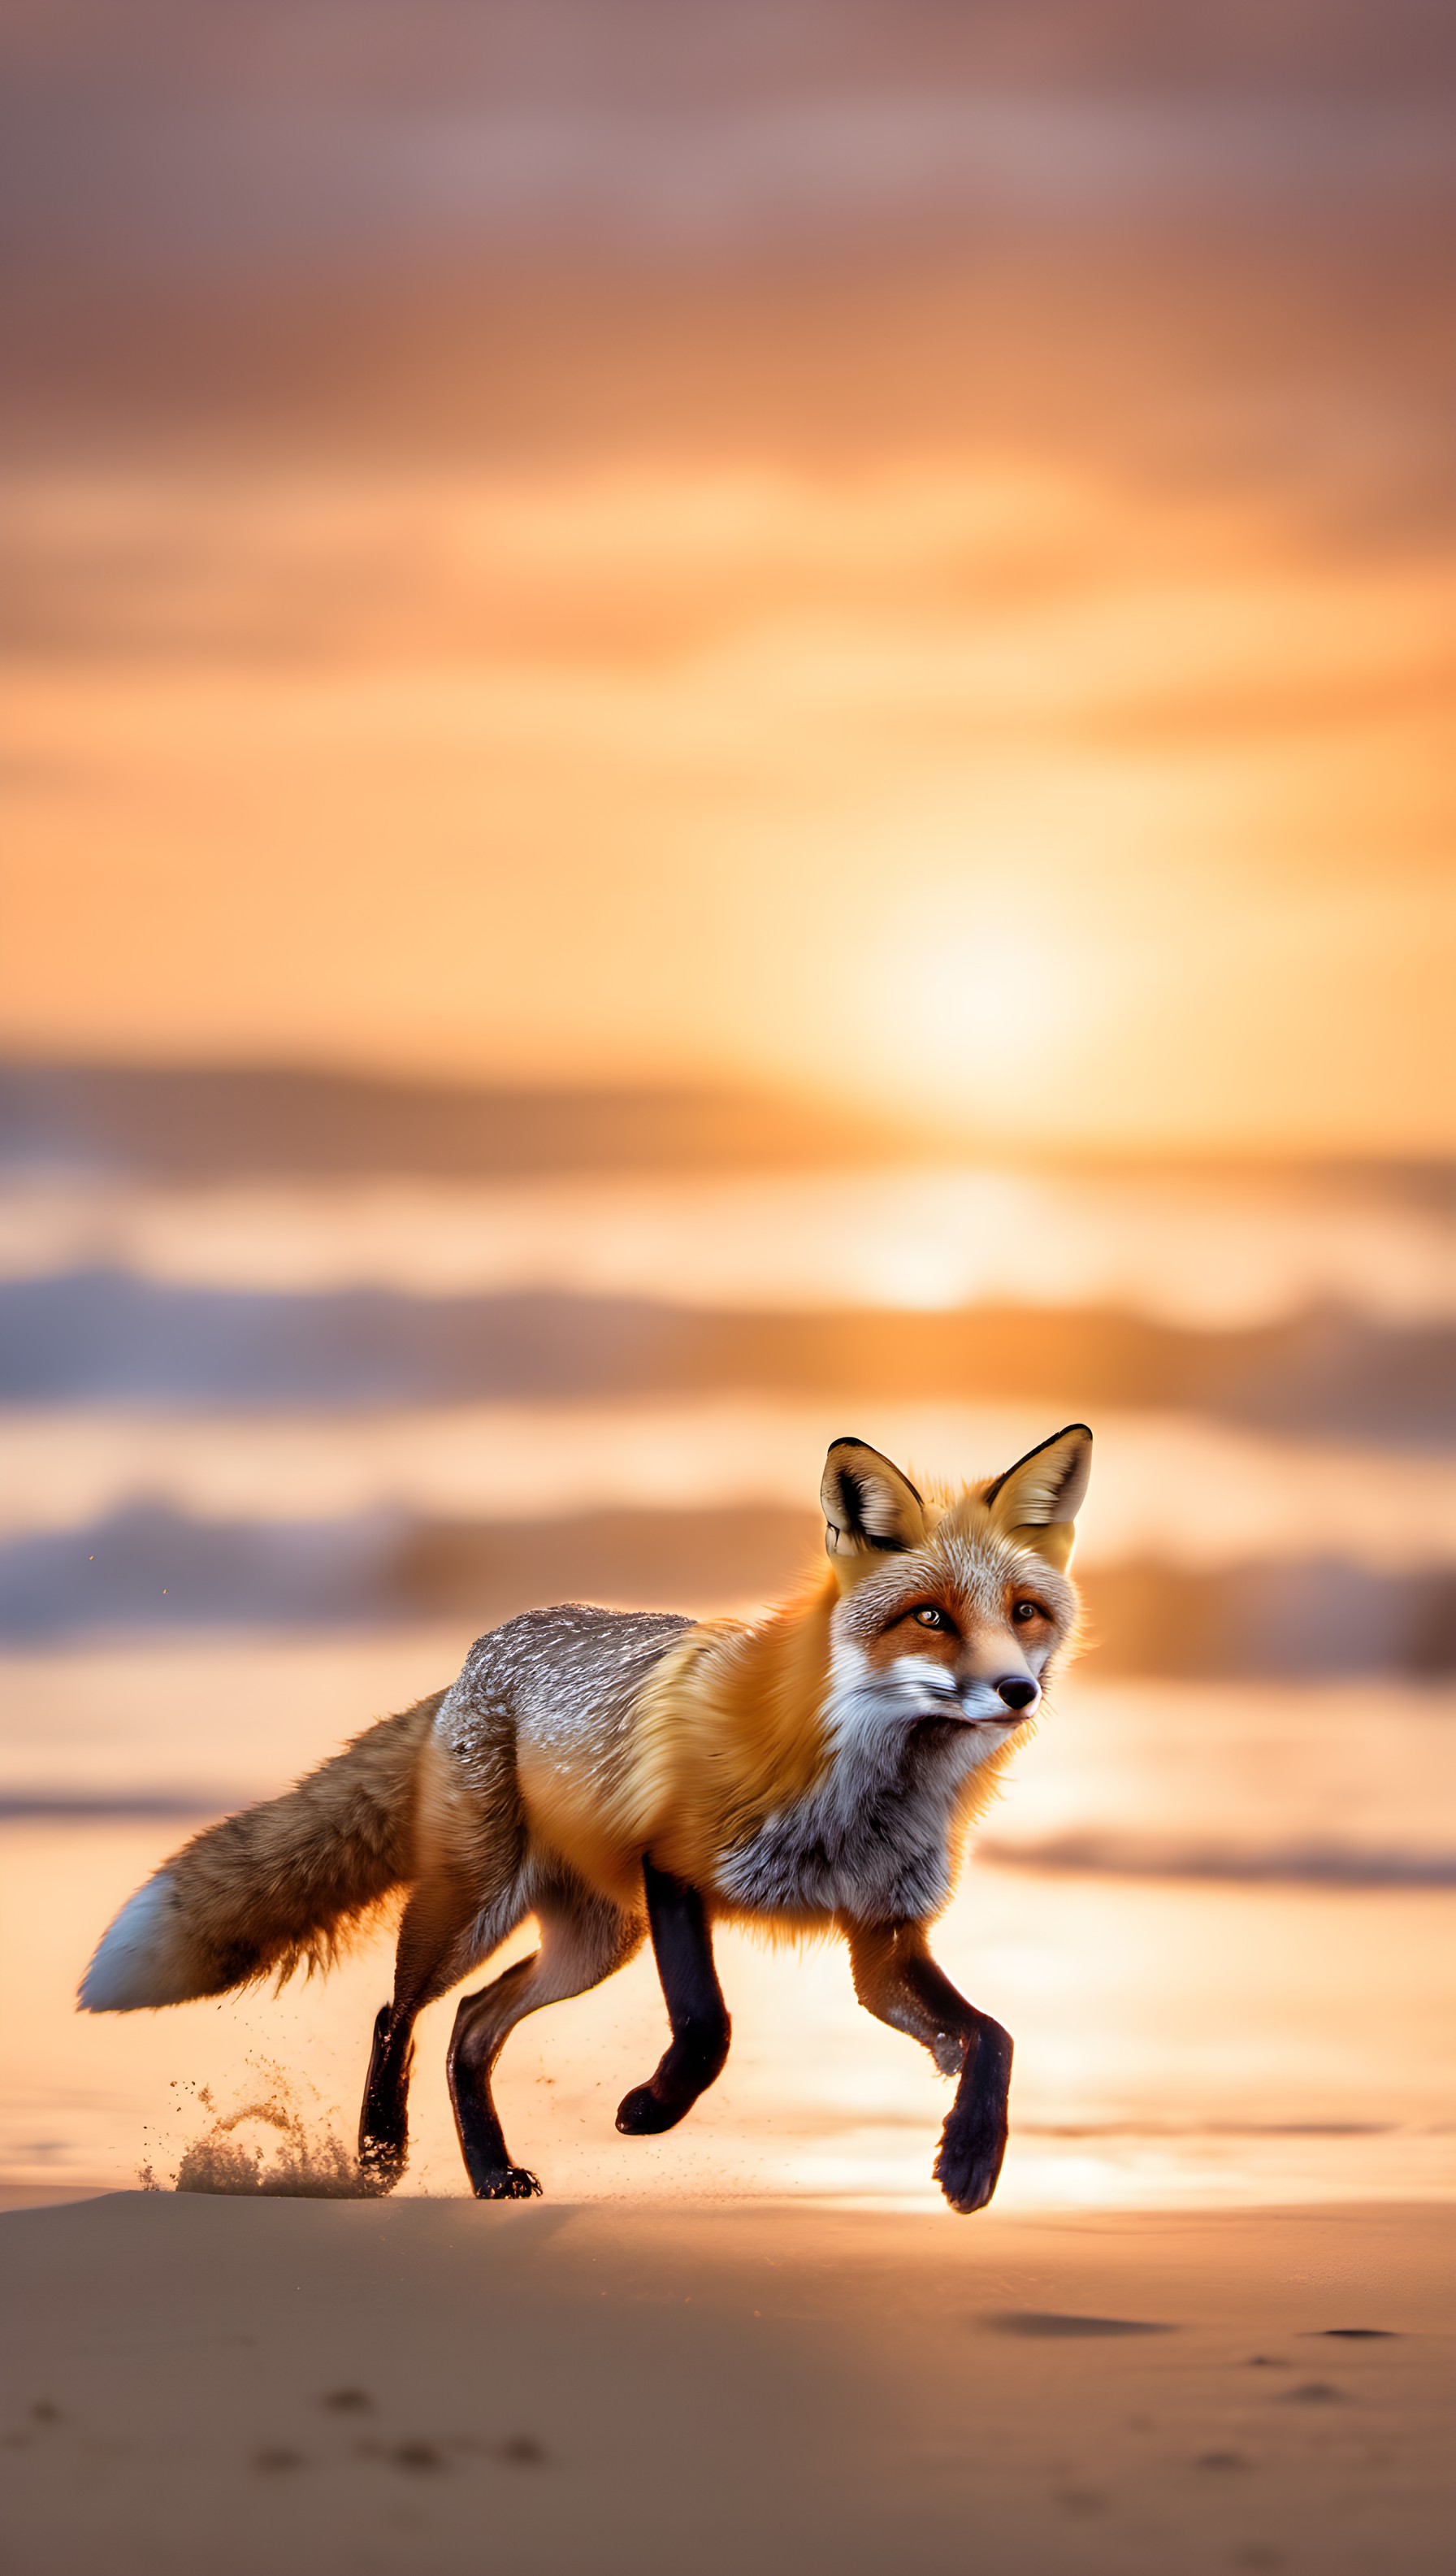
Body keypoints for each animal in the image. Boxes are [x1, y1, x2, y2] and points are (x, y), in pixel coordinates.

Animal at [80, 1423, 1091, 2214]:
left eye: (1024, 1611)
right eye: (930, 1616)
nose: (1018, 1690)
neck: (864, 1795)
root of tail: (478, 1654)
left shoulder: (881, 1934)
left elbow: (992, 2036)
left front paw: (970, 2158)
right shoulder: (676, 1862)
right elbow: (708, 2023)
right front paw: (651, 2108)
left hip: (595, 1938)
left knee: (471, 2024)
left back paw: (489, 2172)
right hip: (476, 1904)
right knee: (395, 2010)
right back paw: (380, 2150)